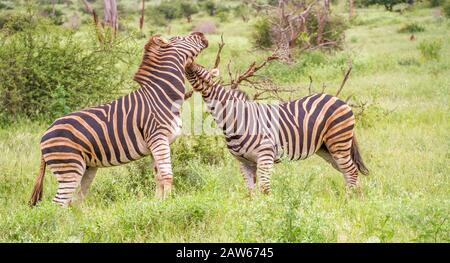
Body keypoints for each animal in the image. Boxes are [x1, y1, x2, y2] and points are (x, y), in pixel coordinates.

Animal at [29, 32, 209, 207]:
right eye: (180, 38)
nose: (201, 33)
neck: (162, 95)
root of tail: (44, 134)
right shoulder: (158, 138)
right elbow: (167, 175)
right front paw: (169, 205)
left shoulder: (154, 144)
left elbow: (158, 176)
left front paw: (157, 204)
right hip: (69, 167)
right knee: (59, 203)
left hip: (86, 166)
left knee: (74, 200)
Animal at [185, 63, 368, 196]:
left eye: (201, 71)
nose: (189, 63)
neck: (236, 120)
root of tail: (339, 100)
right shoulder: (244, 162)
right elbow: (251, 192)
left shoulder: (265, 156)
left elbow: (265, 190)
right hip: (326, 148)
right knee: (347, 172)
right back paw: (355, 199)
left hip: (338, 141)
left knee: (351, 171)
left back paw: (349, 201)